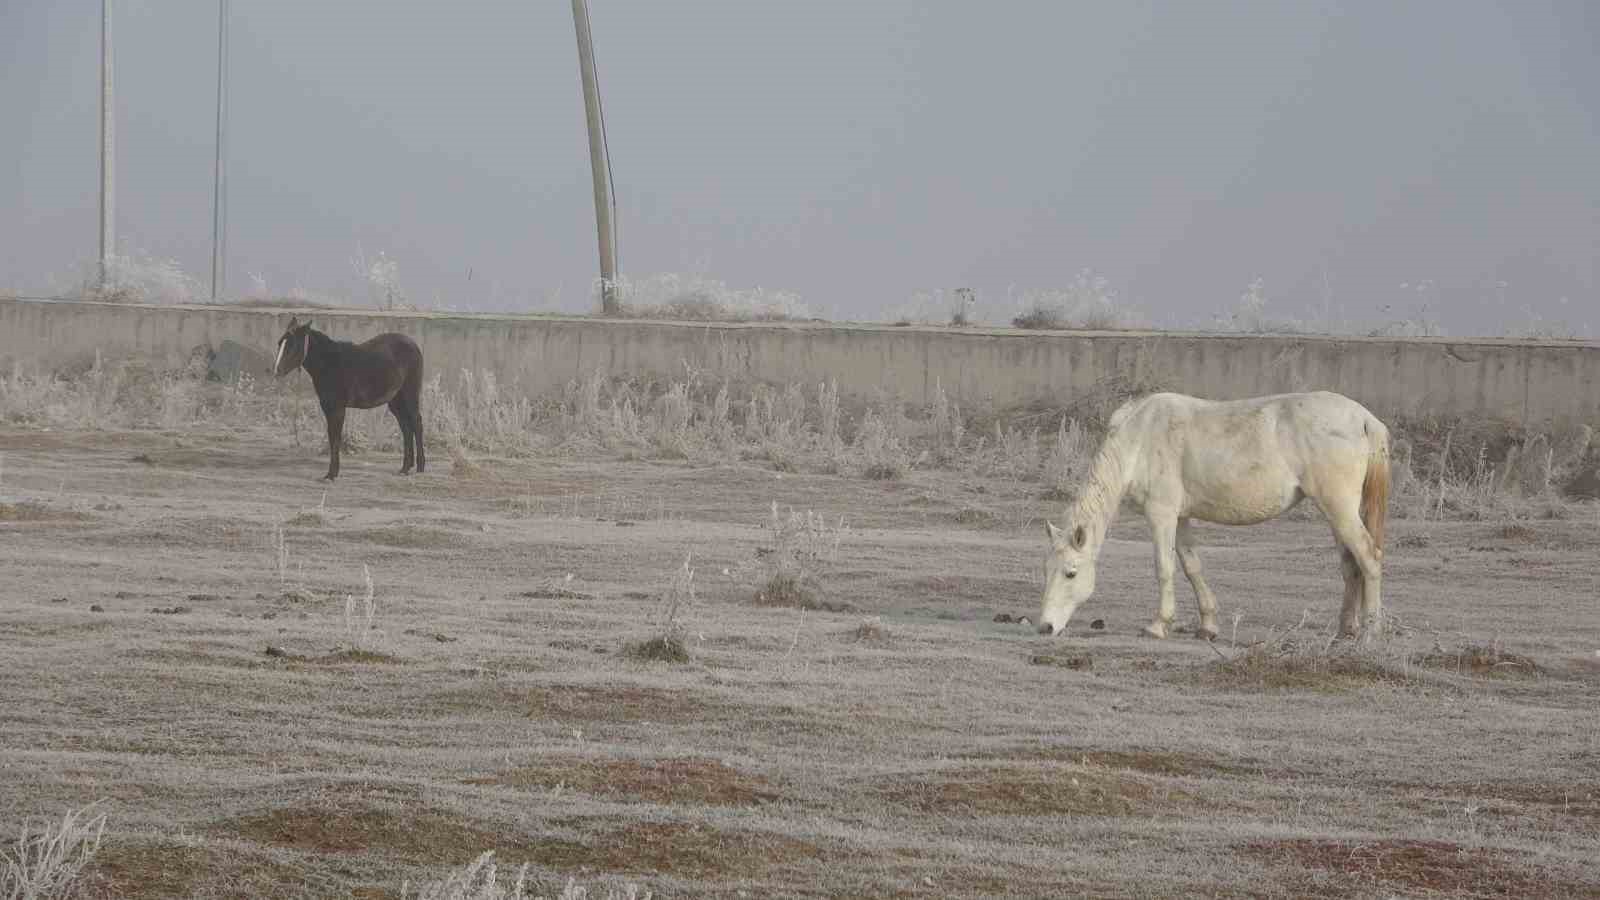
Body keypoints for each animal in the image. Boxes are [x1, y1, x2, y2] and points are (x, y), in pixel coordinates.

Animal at [273, 317, 425, 480]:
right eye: (280, 343)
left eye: (292, 345)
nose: (277, 371)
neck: (329, 364)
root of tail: (413, 345)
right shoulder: (328, 407)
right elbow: (332, 436)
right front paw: (331, 473)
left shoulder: (337, 408)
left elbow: (335, 438)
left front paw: (331, 474)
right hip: (396, 400)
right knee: (406, 427)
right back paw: (405, 468)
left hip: (410, 394)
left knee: (416, 422)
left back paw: (420, 467)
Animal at [1036, 390, 1388, 637]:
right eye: (1046, 570)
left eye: (1070, 573)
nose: (1045, 627)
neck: (1140, 437)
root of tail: (1365, 419)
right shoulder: (1180, 518)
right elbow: (1192, 566)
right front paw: (1207, 626)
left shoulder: (1161, 515)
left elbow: (1164, 567)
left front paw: (1158, 625)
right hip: (1337, 513)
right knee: (1351, 565)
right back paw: (1345, 630)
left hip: (1338, 509)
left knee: (1369, 558)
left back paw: (1371, 631)